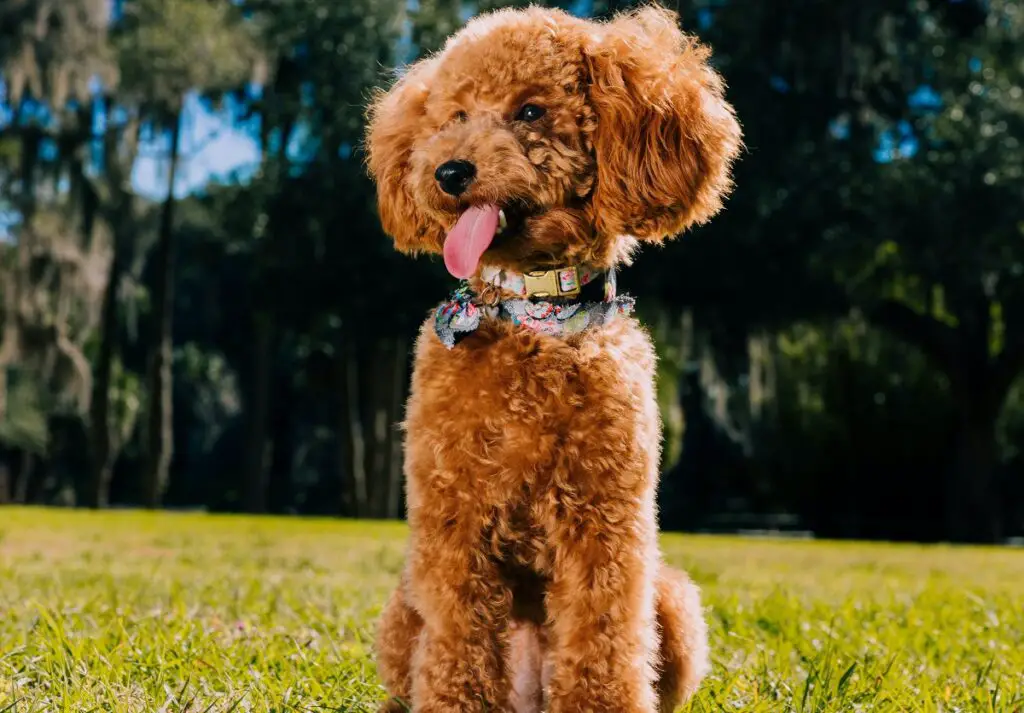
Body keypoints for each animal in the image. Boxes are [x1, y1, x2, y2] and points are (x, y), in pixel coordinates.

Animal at [364, 5, 741, 713]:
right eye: (455, 115)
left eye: (532, 111)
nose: (449, 172)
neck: (532, 315)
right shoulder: (453, 516)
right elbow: (458, 637)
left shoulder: (606, 521)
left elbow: (603, 634)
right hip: (401, 612)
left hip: (672, 600)